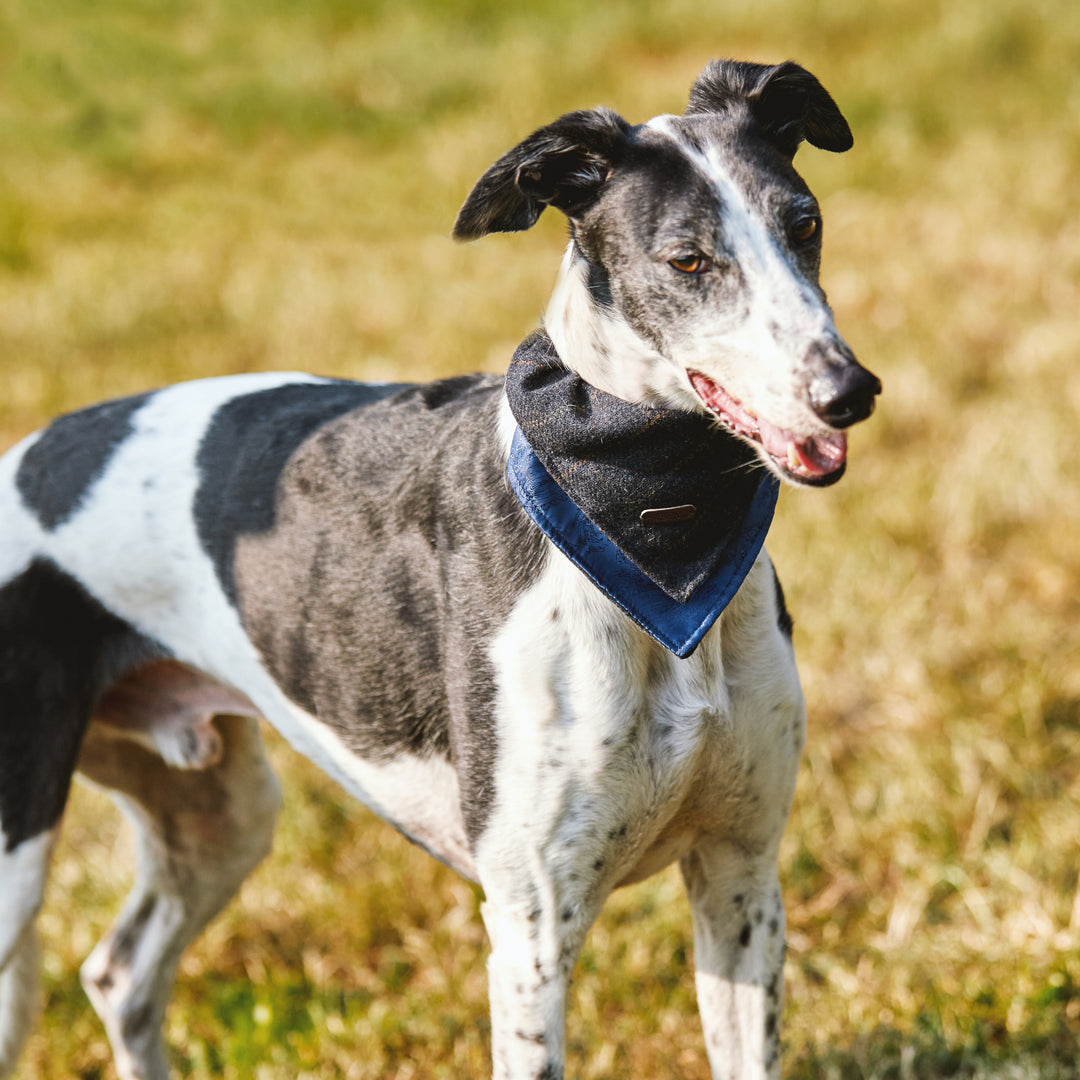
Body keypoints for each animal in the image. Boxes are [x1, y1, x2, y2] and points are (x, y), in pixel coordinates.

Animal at [0, 59, 876, 1080]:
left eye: (804, 224)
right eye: (688, 261)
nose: (849, 392)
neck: (654, 533)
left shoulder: (740, 876)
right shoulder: (533, 932)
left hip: (219, 812)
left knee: (120, 973)